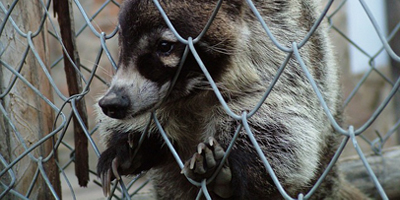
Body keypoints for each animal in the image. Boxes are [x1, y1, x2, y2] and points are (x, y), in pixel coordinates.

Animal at [96, 0, 366, 199]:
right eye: (122, 44)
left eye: (164, 46)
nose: (112, 104)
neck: (194, 95)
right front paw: (128, 142)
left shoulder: (286, 51)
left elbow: (285, 126)